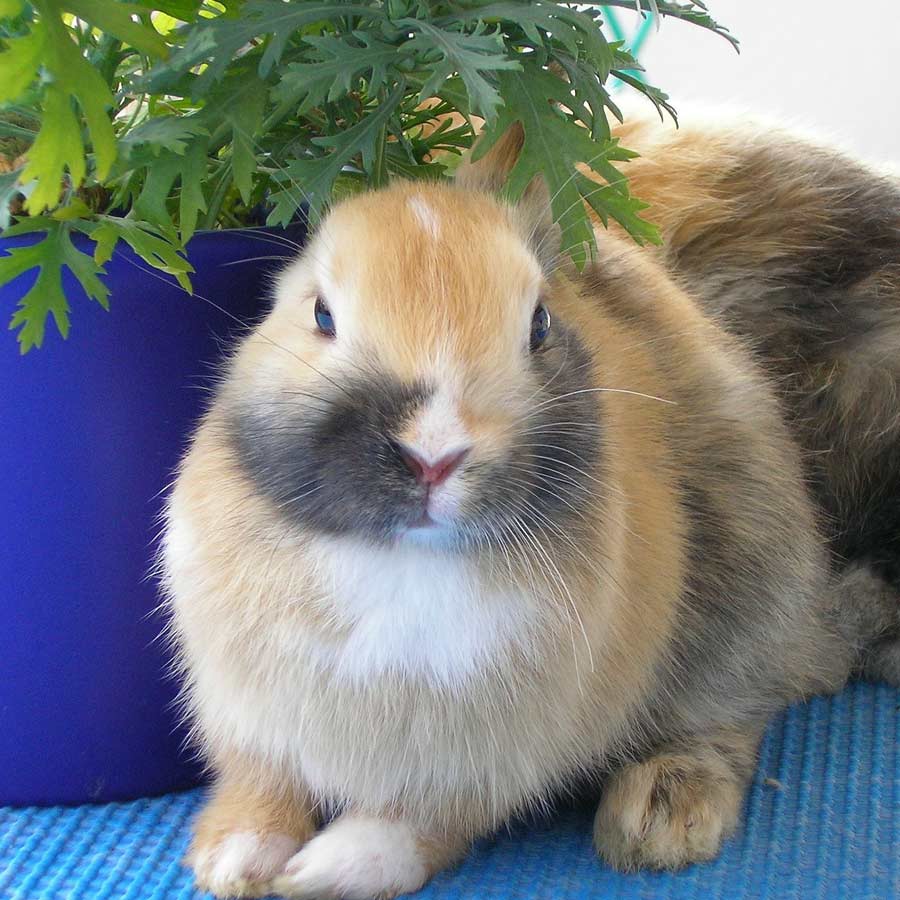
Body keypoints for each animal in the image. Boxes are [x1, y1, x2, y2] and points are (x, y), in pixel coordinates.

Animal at [160, 120, 897, 900]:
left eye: (540, 324)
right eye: (320, 314)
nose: (434, 452)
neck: (404, 560)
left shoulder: (487, 763)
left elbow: (413, 827)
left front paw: (323, 872)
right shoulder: (252, 721)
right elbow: (259, 788)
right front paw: (236, 861)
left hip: (750, 592)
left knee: (729, 717)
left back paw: (657, 818)